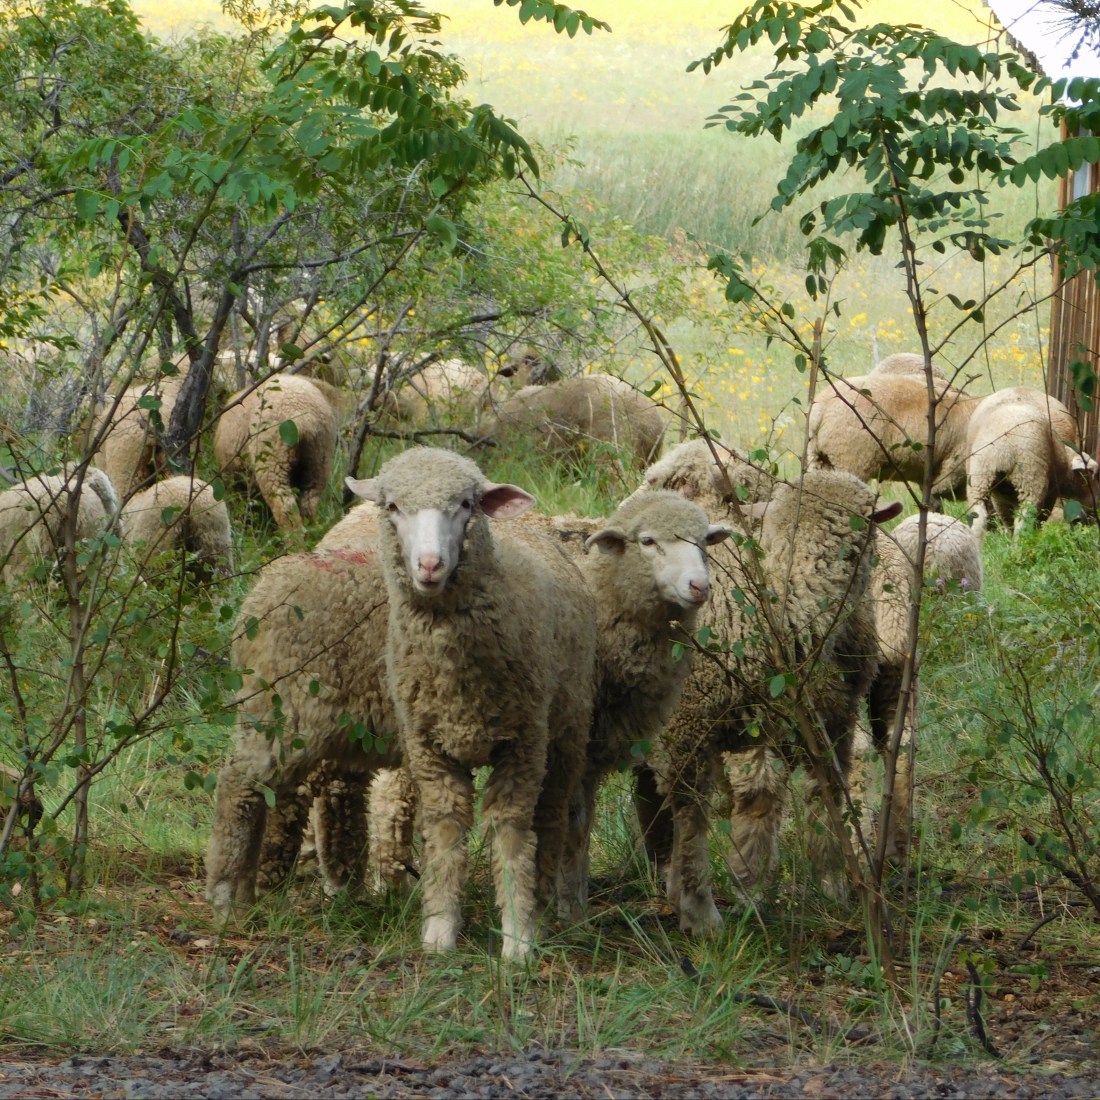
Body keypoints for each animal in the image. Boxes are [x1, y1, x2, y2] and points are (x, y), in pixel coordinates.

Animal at [213, 374, 338, 529]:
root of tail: (305, 419)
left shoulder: (234, 478)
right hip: (319, 461)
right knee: (309, 503)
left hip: (273, 459)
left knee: (285, 506)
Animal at [345, 446, 597, 960]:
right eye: (393, 506)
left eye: (465, 504)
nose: (429, 565)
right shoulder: (429, 747)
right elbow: (444, 828)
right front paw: (440, 929)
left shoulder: (522, 744)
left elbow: (511, 831)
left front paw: (519, 935)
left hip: (565, 731)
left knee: (553, 815)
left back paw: (548, 900)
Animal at [555, 490, 731, 920]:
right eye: (647, 541)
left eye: (703, 541)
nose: (699, 586)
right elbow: (573, 819)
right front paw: (568, 909)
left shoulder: (594, 745)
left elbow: (581, 821)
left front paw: (571, 903)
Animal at [965, 387, 1098, 540]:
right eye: (1090, 476)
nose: (1095, 506)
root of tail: (1005, 448)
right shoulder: (1052, 490)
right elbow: (1040, 518)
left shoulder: (1000, 495)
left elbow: (1007, 518)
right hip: (1030, 478)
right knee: (1024, 522)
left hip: (979, 479)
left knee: (978, 518)